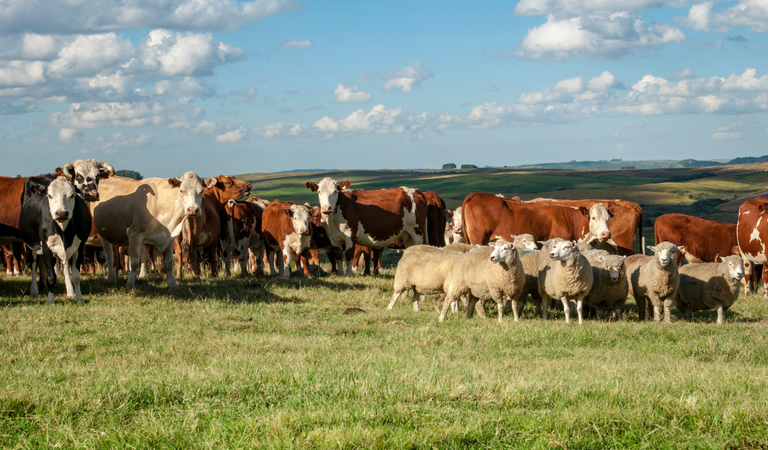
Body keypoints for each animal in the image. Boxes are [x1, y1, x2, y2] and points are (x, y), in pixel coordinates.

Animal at [19, 176, 91, 306]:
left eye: (72, 195)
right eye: (50, 195)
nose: (61, 213)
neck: (62, 230)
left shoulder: (79, 246)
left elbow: (76, 277)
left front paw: (79, 299)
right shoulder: (46, 247)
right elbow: (51, 277)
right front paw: (50, 300)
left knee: (65, 266)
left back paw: (70, 292)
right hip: (31, 245)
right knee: (33, 265)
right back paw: (34, 291)